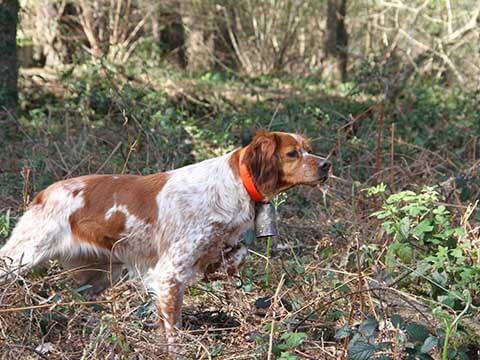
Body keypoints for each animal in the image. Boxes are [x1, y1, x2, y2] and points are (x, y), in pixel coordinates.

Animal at [0, 130, 330, 352]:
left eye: (309, 149)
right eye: (292, 154)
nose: (326, 165)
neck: (235, 184)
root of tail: (43, 194)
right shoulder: (169, 272)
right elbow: (173, 330)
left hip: (97, 276)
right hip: (23, 255)